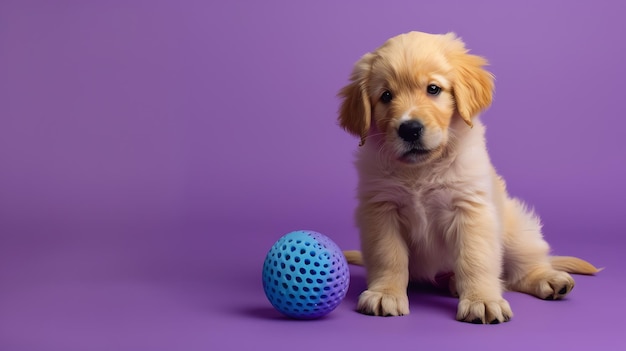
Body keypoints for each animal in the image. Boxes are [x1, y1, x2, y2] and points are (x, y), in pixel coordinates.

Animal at [338, 31, 596, 324]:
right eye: (386, 96)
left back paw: (550, 280)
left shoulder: (470, 209)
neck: (422, 169)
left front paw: (481, 301)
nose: (410, 129)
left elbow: (475, 259)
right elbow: (389, 257)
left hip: (517, 231)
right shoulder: (382, 210)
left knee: (521, 269)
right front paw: (385, 294)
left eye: (433, 89)